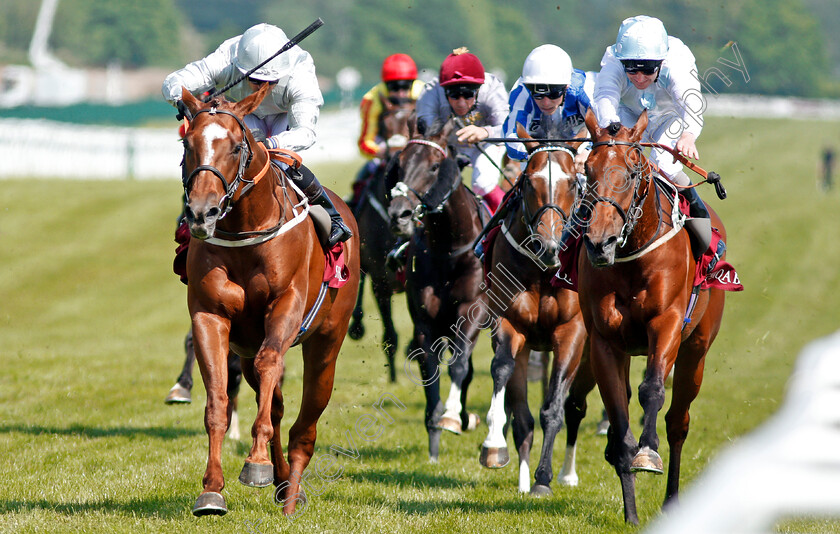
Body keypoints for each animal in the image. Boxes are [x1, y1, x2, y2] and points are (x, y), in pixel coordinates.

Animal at [177, 86, 360, 516]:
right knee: (273, 403)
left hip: (327, 341)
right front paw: (212, 489)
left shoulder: (286, 305)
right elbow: (219, 401)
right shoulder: (210, 316)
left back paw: (291, 496)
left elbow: (270, 364)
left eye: (234, 146)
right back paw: (282, 482)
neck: (244, 228)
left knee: (304, 426)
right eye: (187, 143)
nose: (201, 212)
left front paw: (257, 463)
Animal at [390, 119, 488, 462]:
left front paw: (452, 417)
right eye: (399, 163)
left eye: (434, 166)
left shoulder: (472, 311)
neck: (449, 250)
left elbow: (458, 365)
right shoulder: (425, 325)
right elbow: (429, 371)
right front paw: (434, 442)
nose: (399, 214)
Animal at [476, 122, 588, 498]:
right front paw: (494, 447)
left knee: (577, 406)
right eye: (528, 182)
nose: (546, 246)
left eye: (573, 183)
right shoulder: (510, 324)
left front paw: (543, 478)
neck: (542, 272)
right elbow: (502, 372)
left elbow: (553, 408)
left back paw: (568, 473)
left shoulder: (572, 332)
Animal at [576, 110, 724, 528]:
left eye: (630, 171)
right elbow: (618, 412)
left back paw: (673, 500)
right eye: (588, 170)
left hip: (695, 352)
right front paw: (630, 510)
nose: (600, 243)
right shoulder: (605, 342)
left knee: (678, 422)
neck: (631, 259)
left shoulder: (667, 323)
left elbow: (652, 391)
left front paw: (648, 452)